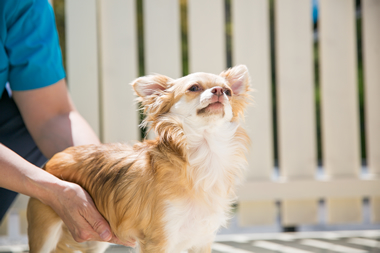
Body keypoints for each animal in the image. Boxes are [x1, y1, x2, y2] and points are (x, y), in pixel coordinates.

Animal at [27, 65, 252, 253]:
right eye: (194, 88)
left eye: (229, 92)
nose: (219, 91)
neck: (205, 151)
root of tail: (54, 158)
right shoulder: (159, 239)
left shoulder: (201, 239)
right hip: (45, 230)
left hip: (95, 237)